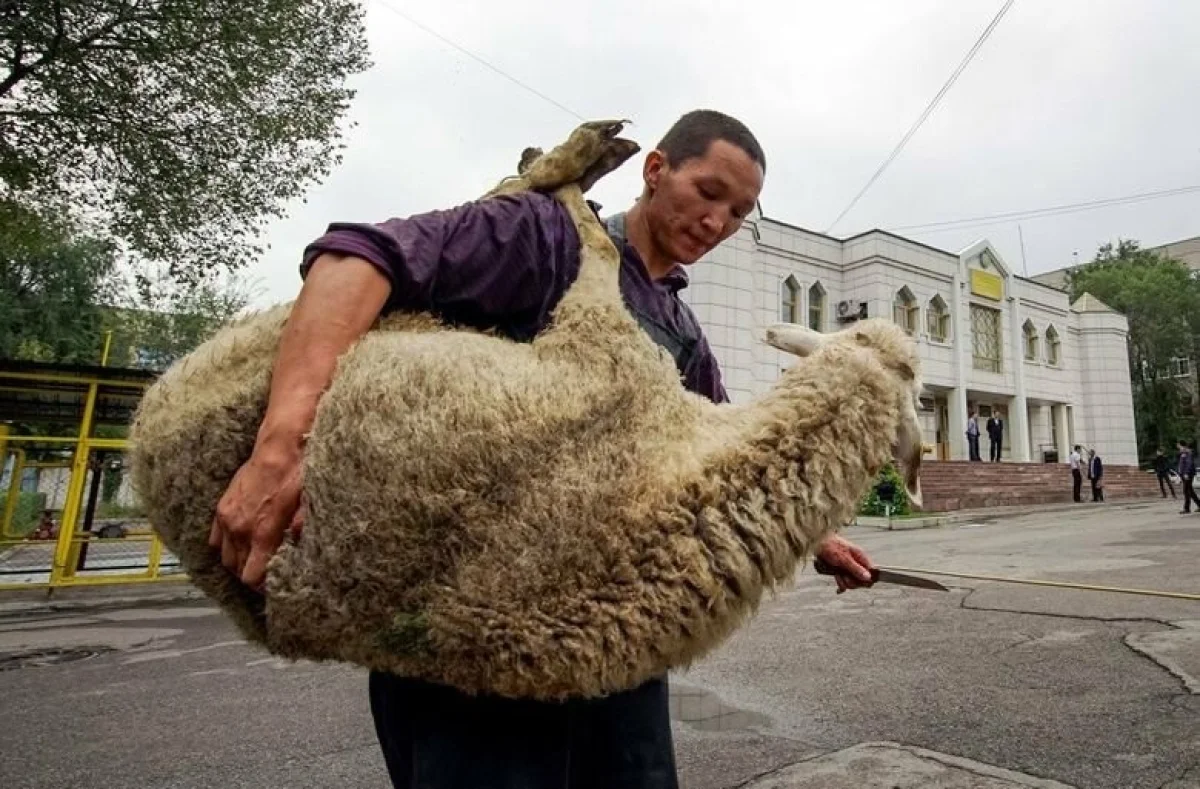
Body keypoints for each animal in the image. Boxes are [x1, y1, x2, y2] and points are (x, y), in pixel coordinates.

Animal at [126, 118, 921, 700]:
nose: (778, 332)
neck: (692, 474)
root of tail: (144, 437)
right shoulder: (606, 346)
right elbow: (600, 245)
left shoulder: (601, 342)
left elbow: (600, 250)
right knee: (387, 238)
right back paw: (575, 156)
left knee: (510, 196)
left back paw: (573, 156)